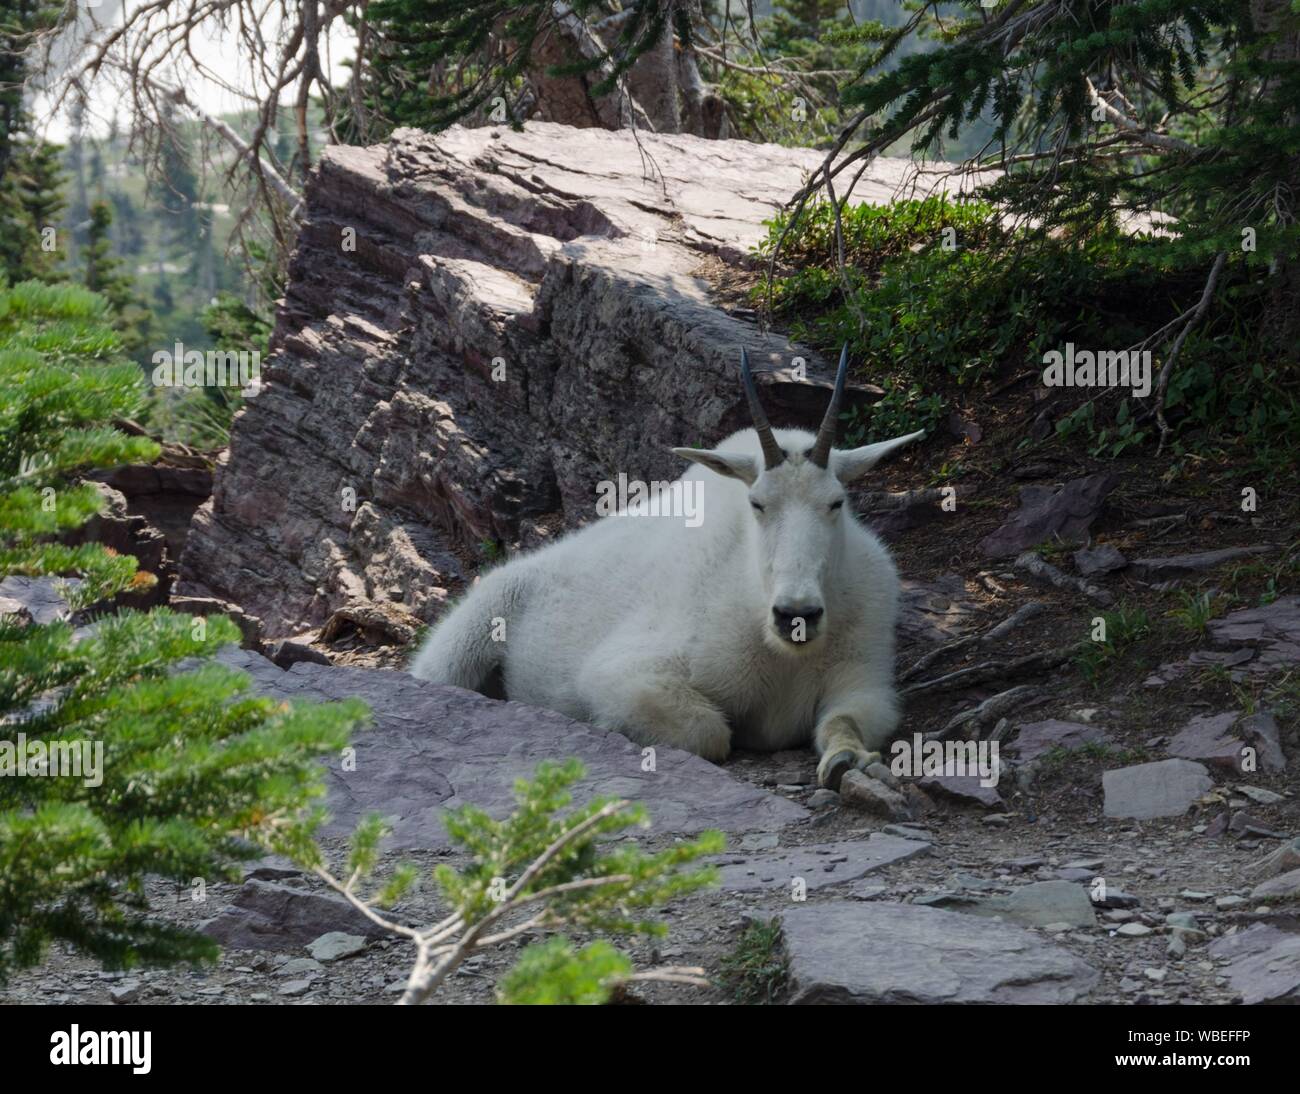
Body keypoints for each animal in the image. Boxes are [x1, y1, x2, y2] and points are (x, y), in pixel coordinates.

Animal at [410, 350, 930, 784]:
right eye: (757, 503)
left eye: (836, 502)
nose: (796, 615)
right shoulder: (626, 671)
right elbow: (708, 731)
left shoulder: (864, 679)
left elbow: (845, 719)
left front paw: (848, 762)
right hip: (467, 636)